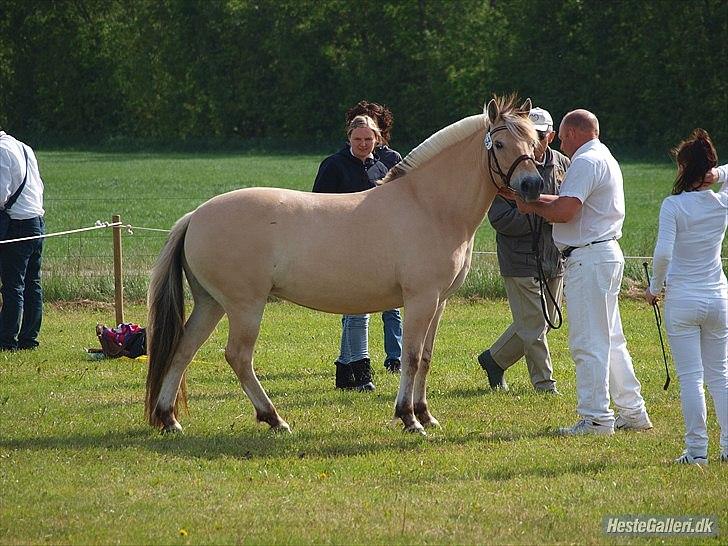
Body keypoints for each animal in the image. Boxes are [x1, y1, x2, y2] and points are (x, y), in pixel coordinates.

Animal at [146, 94, 540, 434]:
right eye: (500, 145)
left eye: (534, 143)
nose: (532, 186)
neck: (429, 205)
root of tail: (195, 216)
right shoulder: (420, 299)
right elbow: (411, 357)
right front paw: (409, 418)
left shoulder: (438, 302)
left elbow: (426, 358)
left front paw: (426, 415)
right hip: (245, 306)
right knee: (238, 357)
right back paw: (274, 419)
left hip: (211, 304)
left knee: (183, 350)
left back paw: (169, 419)